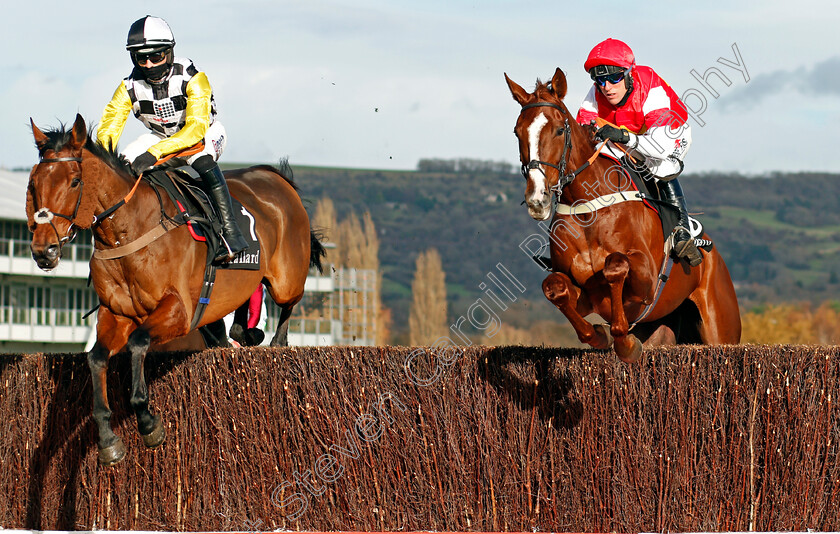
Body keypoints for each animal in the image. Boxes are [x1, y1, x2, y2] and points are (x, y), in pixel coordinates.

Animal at [25, 115, 322, 466]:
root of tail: (275, 177)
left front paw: (148, 422)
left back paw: (274, 341)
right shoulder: (115, 314)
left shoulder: (178, 312)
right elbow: (96, 358)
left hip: (286, 279)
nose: (44, 250)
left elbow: (139, 343)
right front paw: (108, 439)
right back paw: (242, 331)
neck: (128, 231)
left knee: (288, 303)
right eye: (33, 183)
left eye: (74, 181)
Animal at [502, 70, 740, 364]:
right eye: (518, 131)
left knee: (667, 167)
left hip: (720, 326)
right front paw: (598, 335)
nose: (538, 199)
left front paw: (624, 342)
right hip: (662, 328)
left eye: (559, 130)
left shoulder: (647, 281)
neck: (588, 208)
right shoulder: (586, 295)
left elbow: (616, 265)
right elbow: (554, 287)